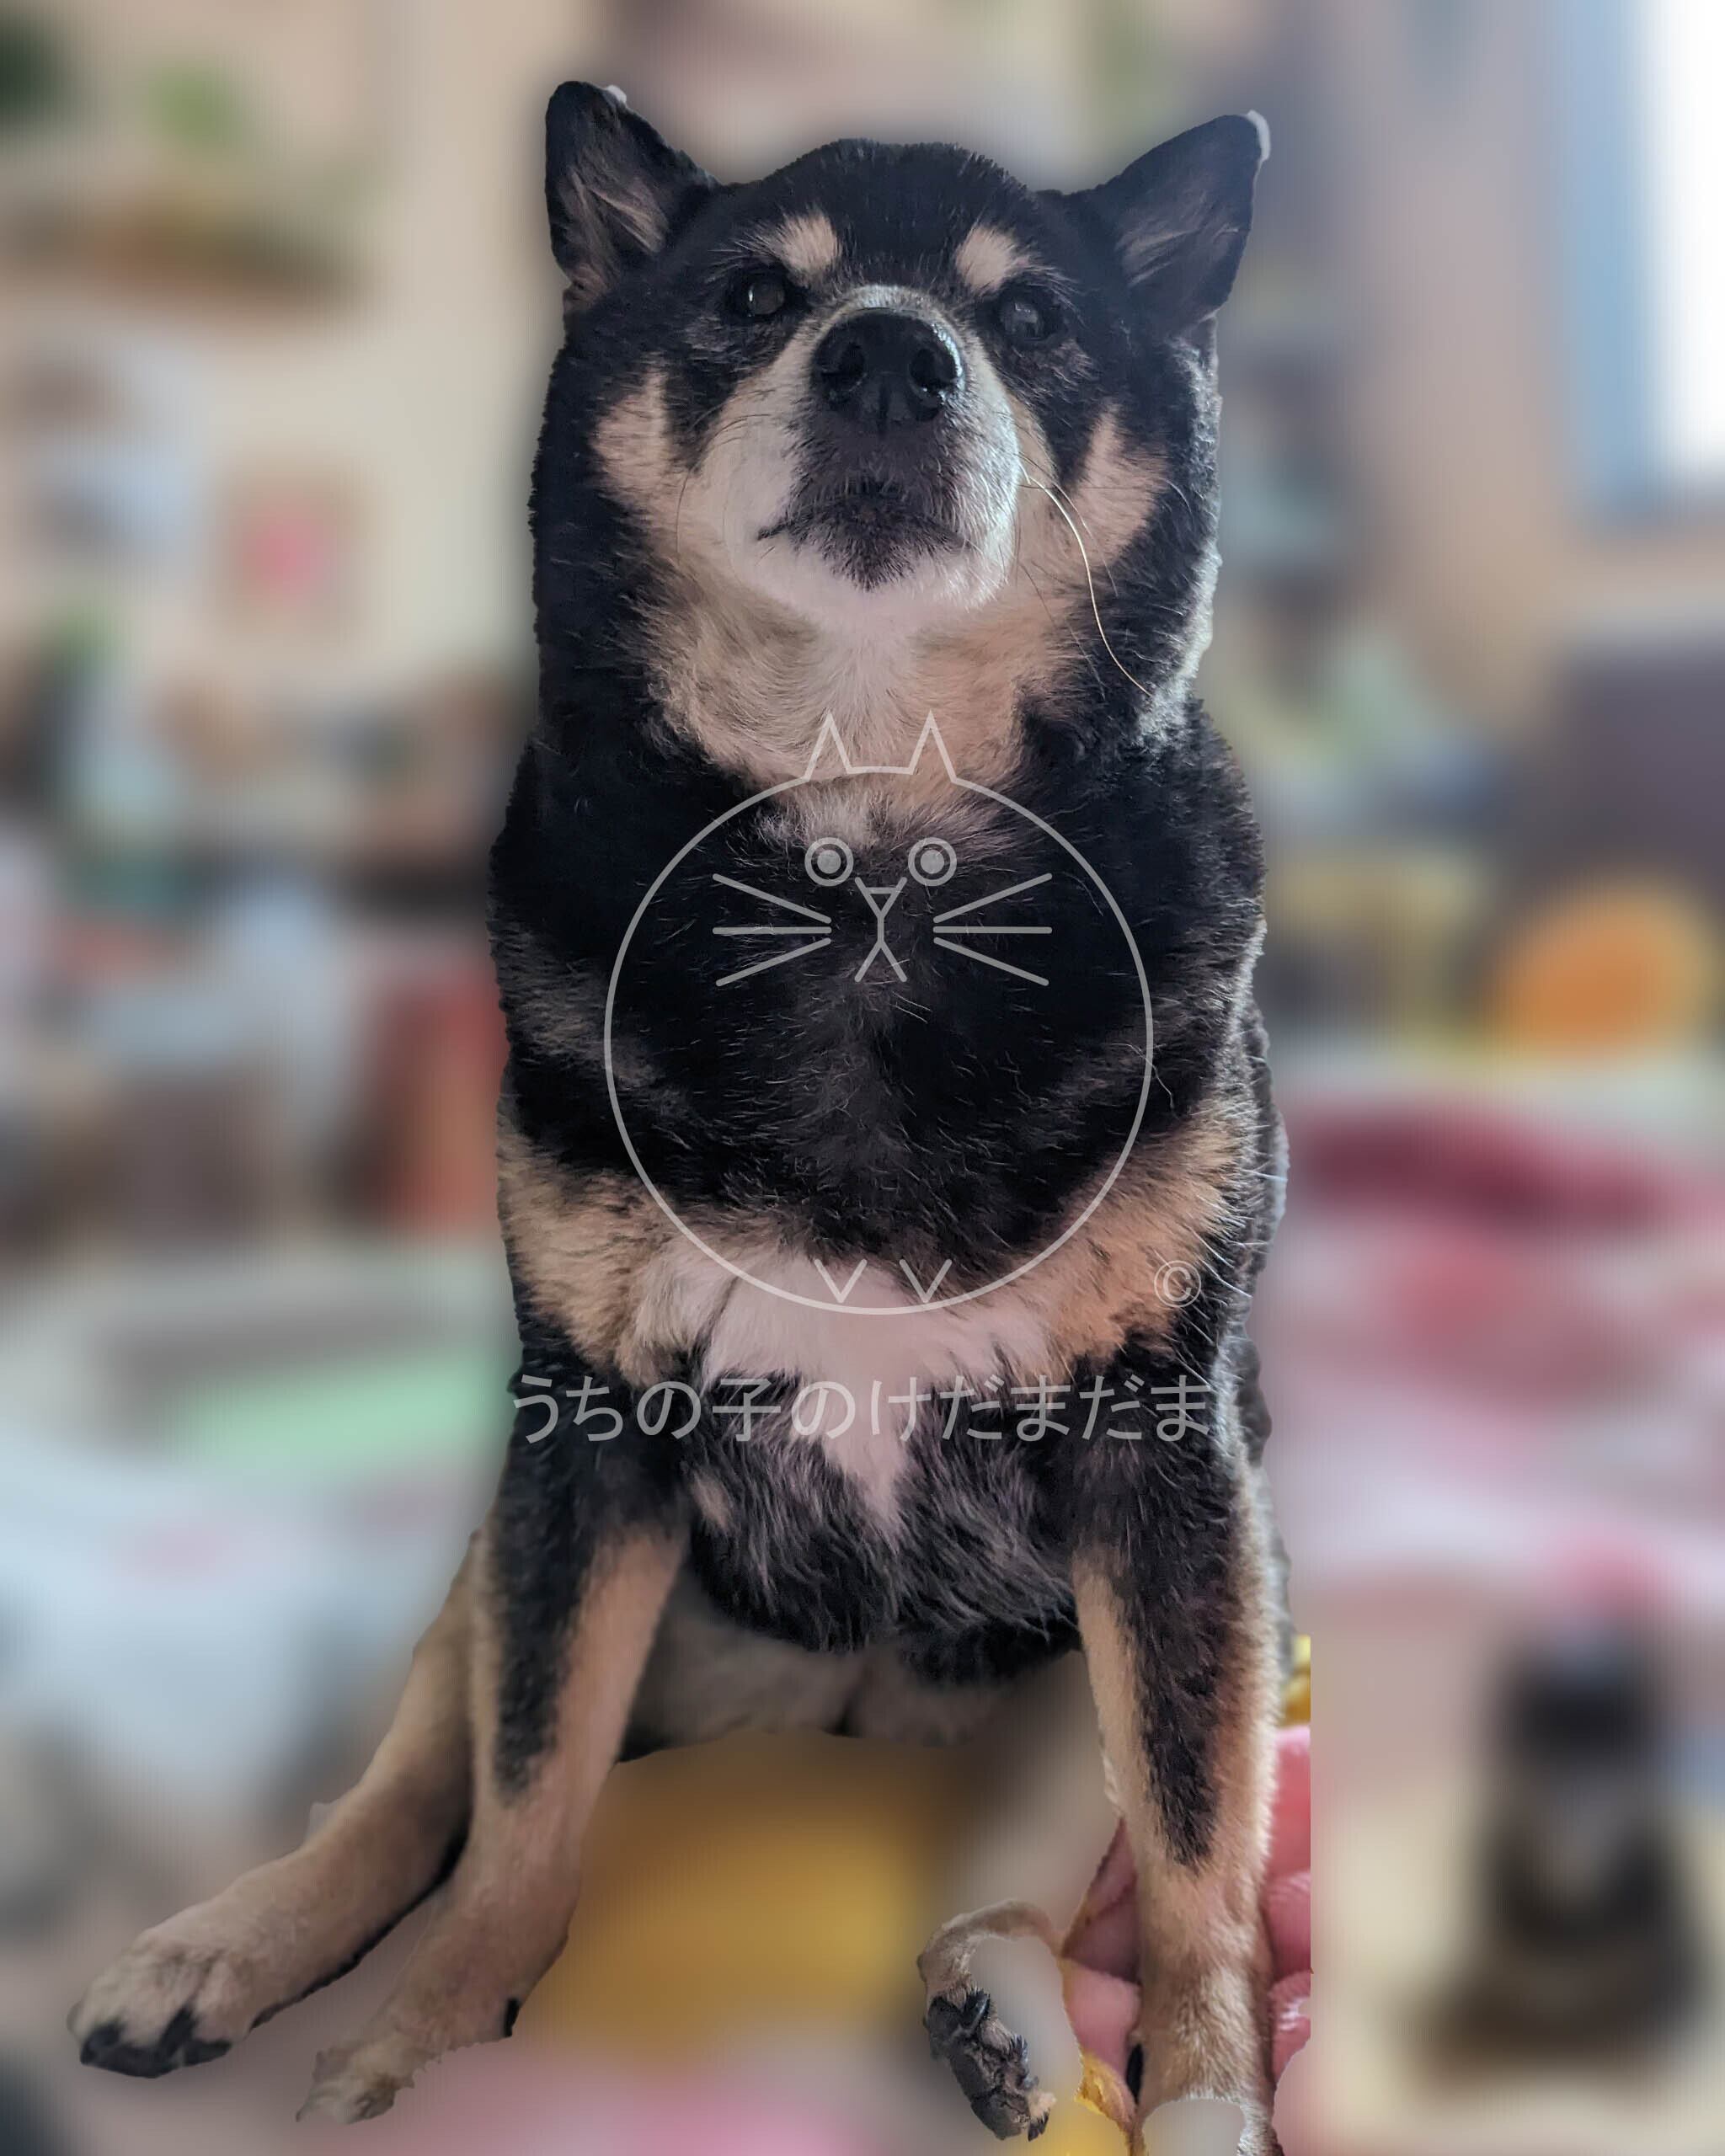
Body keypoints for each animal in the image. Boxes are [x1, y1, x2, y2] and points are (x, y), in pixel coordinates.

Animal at [71, 83, 1286, 2152]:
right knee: (418, 1784)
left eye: (1031, 320)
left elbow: (1200, 1849)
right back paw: (226, 1941)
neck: (866, 855)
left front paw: (1210, 2089)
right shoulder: (585, 1438)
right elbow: (525, 1812)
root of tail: (840, 1729)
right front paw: (419, 2053)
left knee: (1063, 1841)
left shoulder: (1168, 1468)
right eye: (751, 296)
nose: (888, 353)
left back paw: (998, 2008)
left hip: (1121, 1636)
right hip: (510, 1554)